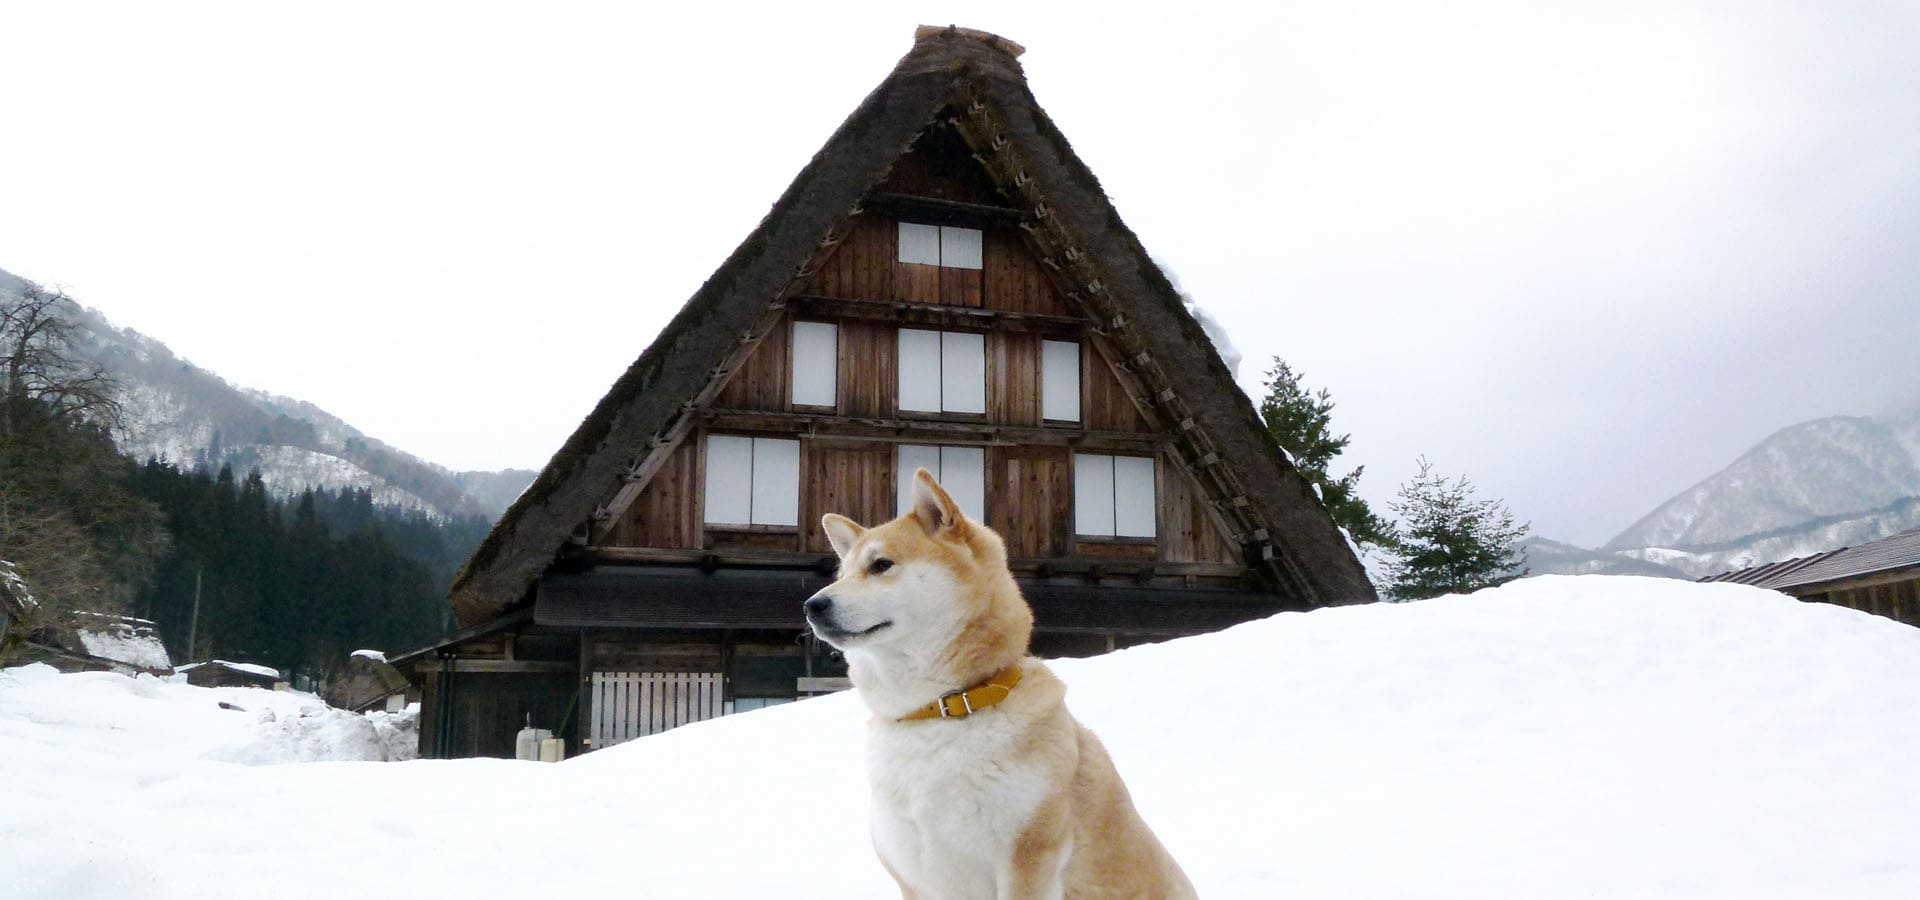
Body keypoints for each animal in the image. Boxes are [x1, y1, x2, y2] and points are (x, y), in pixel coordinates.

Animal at [802, 466, 1190, 894]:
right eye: (843, 574)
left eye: (881, 564)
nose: (812, 606)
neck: (944, 707)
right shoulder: (913, 874)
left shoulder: (1026, 856)